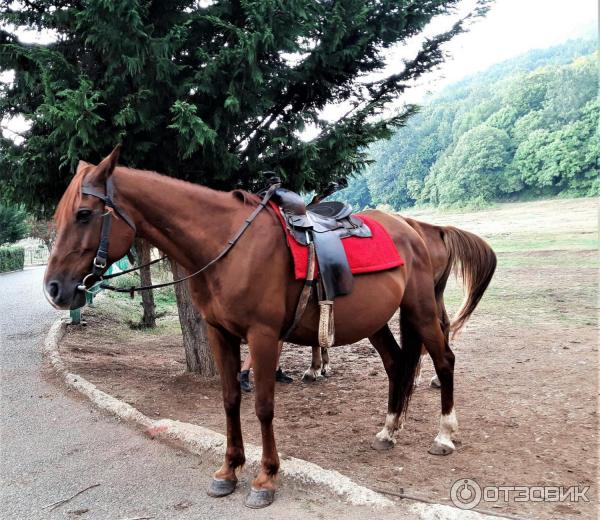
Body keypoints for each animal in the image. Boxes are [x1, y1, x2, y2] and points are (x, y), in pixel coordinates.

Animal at [44, 146, 496, 508]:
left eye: (84, 214)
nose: (54, 288)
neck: (227, 246)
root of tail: (418, 229)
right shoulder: (219, 334)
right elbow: (229, 399)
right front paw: (228, 470)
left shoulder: (263, 337)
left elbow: (263, 405)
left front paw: (265, 477)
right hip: (376, 320)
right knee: (397, 365)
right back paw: (388, 430)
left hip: (420, 309)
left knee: (444, 361)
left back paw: (444, 435)